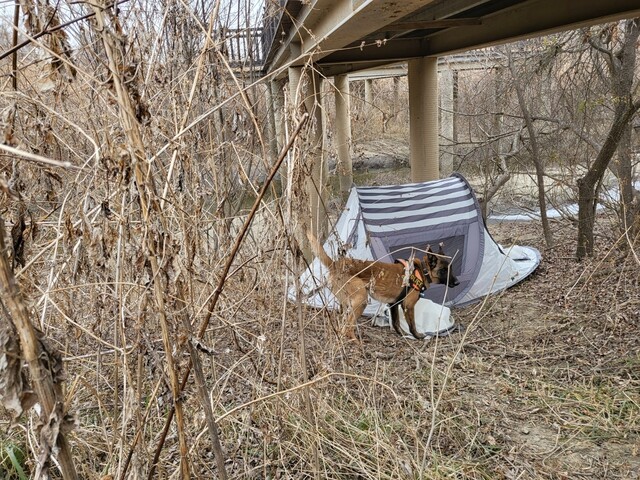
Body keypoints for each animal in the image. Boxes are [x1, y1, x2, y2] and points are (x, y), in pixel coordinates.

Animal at [306, 231, 460, 340]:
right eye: (444, 270)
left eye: (451, 268)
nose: (457, 282)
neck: (422, 271)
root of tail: (335, 264)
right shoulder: (408, 306)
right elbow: (412, 325)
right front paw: (417, 336)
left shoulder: (393, 304)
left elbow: (396, 323)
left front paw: (402, 335)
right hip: (361, 299)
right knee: (347, 328)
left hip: (347, 304)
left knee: (343, 324)